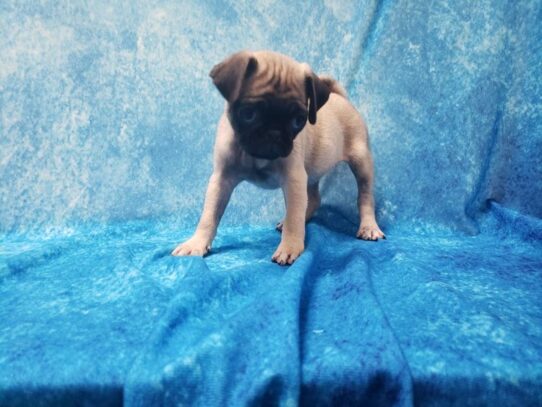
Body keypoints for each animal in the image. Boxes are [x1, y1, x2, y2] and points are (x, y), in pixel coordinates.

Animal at [172, 51, 384, 266]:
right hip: (311, 172)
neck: (255, 157)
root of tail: (339, 97)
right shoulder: (221, 180)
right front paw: (196, 243)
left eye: (298, 121)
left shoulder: (293, 180)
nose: (273, 133)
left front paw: (290, 247)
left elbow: (294, 218)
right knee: (313, 199)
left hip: (361, 162)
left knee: (364, 197)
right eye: (248, 114)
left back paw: (369, 227)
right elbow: (209, 215)